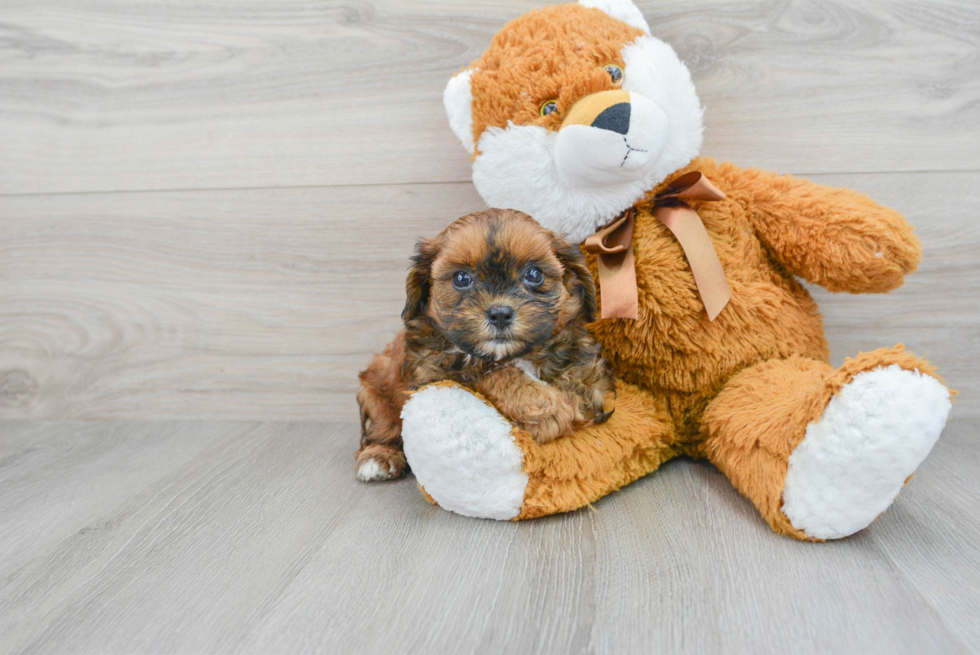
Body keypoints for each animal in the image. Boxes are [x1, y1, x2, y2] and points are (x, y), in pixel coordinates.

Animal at [356, 209, 612, 482]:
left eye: (534, 274)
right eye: (461, 278)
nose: (500, 314)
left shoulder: (587, 376)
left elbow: (576, 391)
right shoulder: (433, 373)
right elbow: (485, 372)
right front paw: (542, 408)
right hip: (375, 392)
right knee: (382, 428)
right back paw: (378, 457)